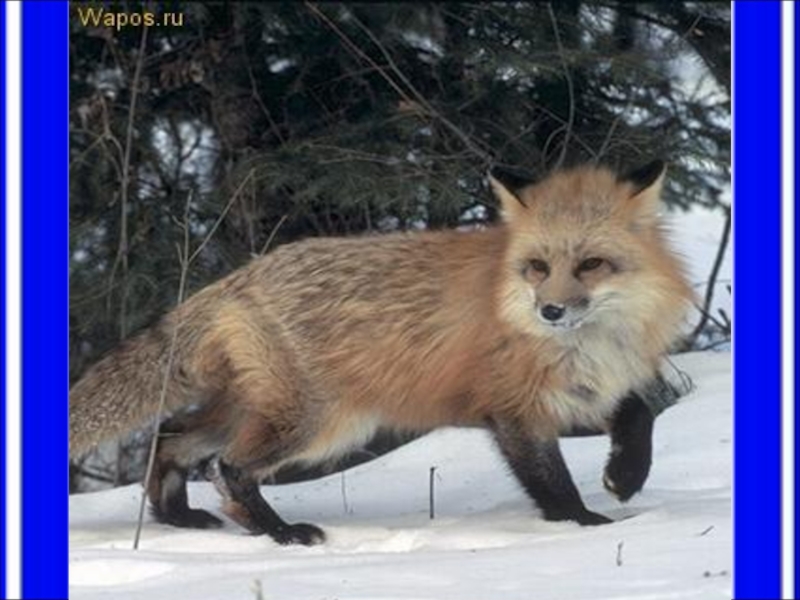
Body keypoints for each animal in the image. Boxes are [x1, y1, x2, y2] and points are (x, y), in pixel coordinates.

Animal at [70, 162, 692, 548]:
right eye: (538, 267)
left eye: (591, 265)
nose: (551, 311)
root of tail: (238, 277)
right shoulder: (513, 409)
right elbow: (551, 482)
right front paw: (584, 525)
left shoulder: (594, 385)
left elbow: (641, 414)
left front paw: (625, 476)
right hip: (317, 424)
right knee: (229, 466)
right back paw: (280, 533)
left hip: (258, 411)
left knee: (171, 436)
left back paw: (178, 518)